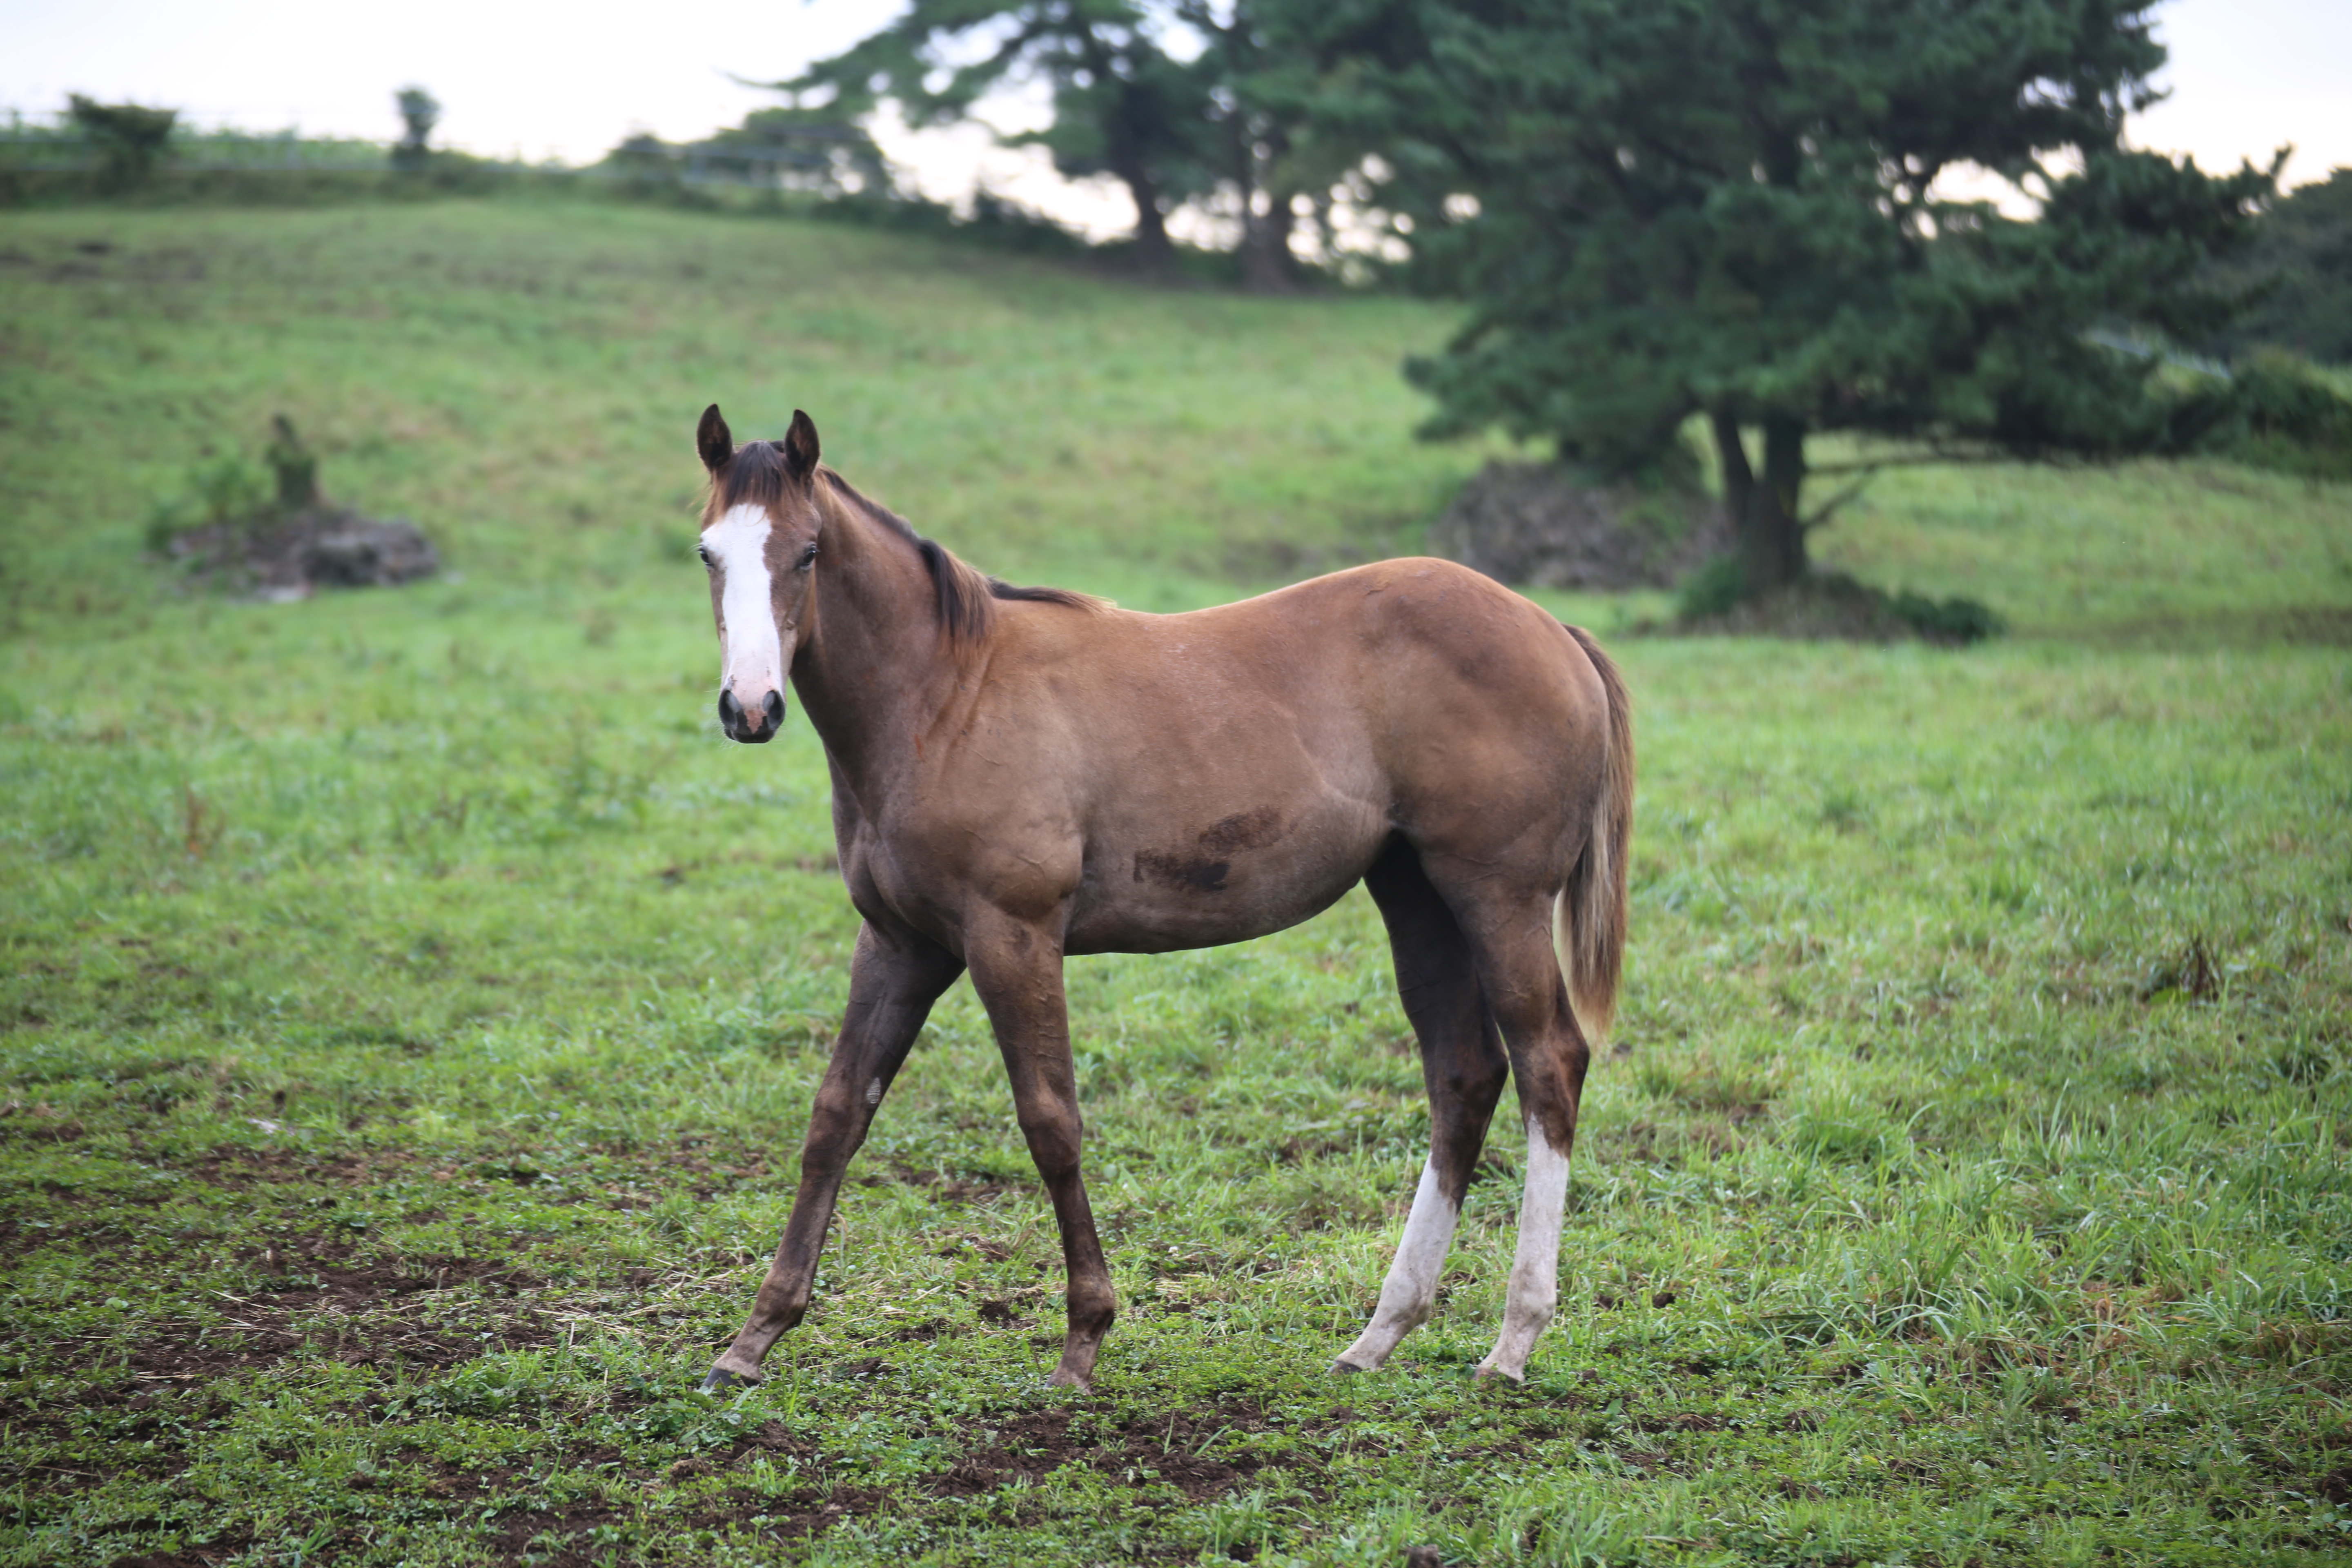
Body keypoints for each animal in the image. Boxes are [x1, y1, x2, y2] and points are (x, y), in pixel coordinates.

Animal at [686, 409, 1627, 1401]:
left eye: (808, 551)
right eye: (709, 551)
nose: (751, 707)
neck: (946, 699)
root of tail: (1554, 629)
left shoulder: (1011, 936)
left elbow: (1051, 1122)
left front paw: (1083, 1341)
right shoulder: (900, 945)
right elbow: (837, 1117)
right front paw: (753, 1340)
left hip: (1500, 899)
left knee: (1548, 1063)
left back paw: (1514, 1340)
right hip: (1418, 897)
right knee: (1464, 1075)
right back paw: (1380, 1333)